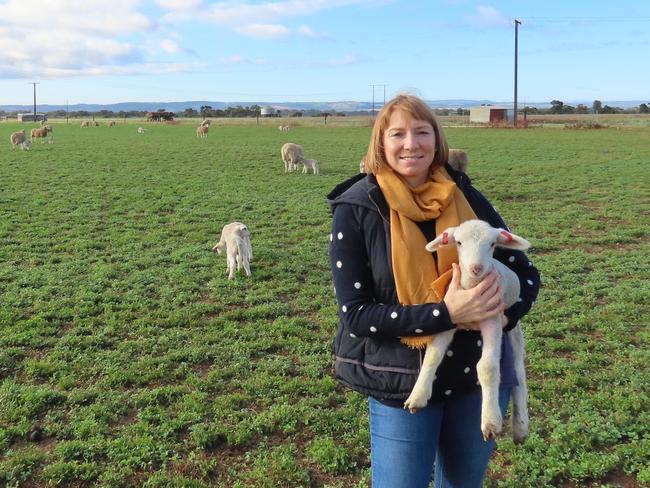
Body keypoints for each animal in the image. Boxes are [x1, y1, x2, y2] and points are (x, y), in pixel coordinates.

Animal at [402, 219, 528, 444]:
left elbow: (487, 367)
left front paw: (490, 422)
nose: (476, 268)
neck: (472, 287)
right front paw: (417, 396)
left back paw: (521, 426)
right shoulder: (450, 316)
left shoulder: (493, 320)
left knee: (518, 370)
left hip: (512, 327)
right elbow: (433, 355)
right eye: (459, 242)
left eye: (493, 244)